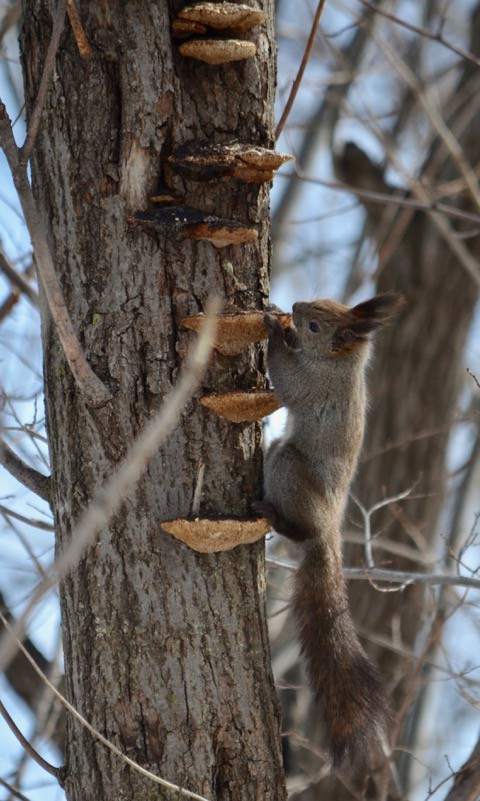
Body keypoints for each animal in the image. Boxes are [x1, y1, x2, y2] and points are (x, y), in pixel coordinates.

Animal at [255, 292, 404, 768]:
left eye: (316, 326)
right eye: (322, 303)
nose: (296, 307)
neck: (340, 363)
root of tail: (327, 533)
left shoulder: (313, 384)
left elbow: (286, 380)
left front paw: (274, 328)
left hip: (286, 466)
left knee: (298, 528)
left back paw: (278, 519)